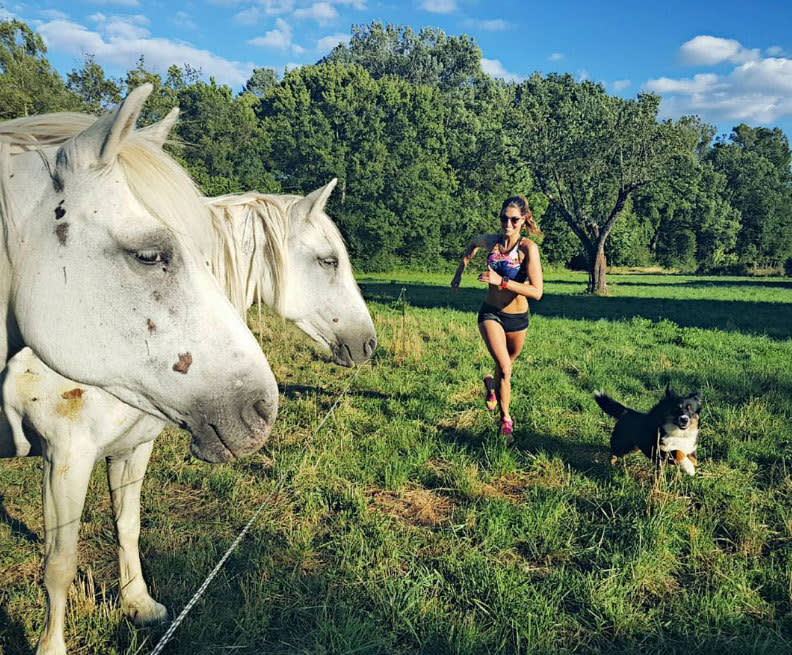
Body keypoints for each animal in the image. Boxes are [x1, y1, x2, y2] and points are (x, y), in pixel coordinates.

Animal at [0, 173, 378, 652]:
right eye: (328, 261)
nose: (368, 343)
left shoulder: (132, 448)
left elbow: (128, 526)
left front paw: (138, 605)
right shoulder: (66, 458)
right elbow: (60, 564)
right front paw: (51, 646)